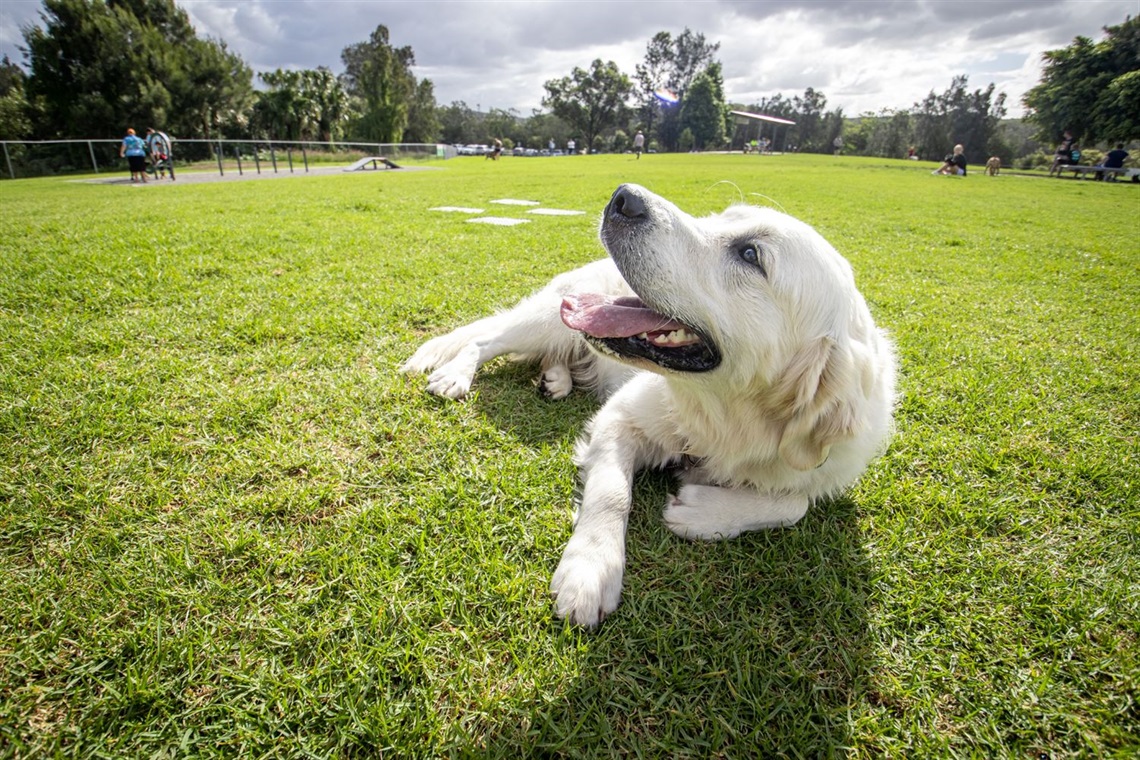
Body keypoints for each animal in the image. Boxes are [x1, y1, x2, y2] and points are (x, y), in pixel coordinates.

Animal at [405, 182, 893, 624]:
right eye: (720, 217)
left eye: (751, 255)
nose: (624, 197)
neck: (725, 421)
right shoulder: (619, 418)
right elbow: (611, 493)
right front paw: (591, 571)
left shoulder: (821, 468)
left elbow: (795, 505)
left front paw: (702, 511)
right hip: (552, 317)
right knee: (485, 339)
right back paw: (456, 375)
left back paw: (555, 379)